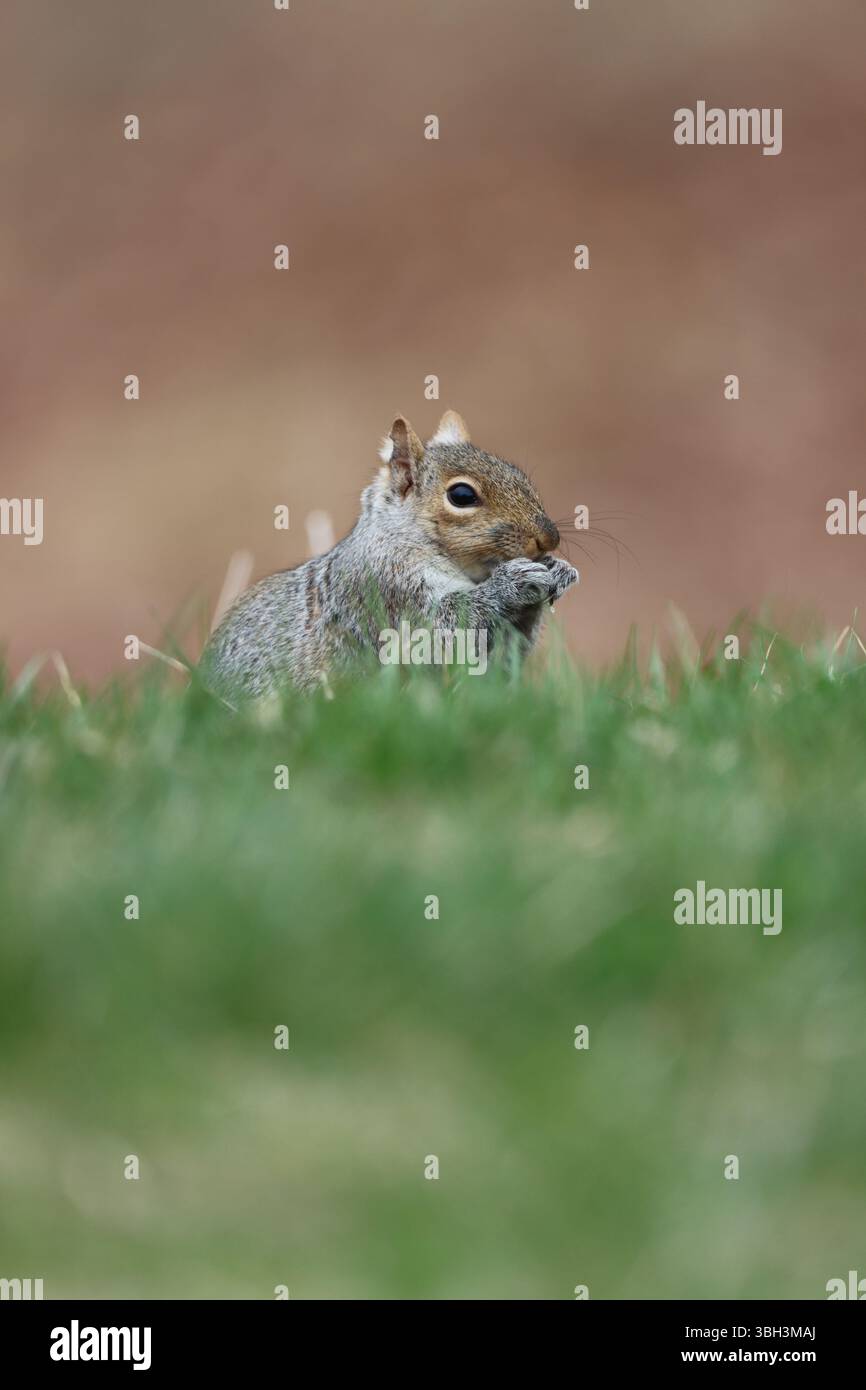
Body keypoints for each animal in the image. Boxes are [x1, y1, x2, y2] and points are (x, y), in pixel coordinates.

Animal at [201, 410, 578, 696]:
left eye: (518, 474)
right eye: (461, 496)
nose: (549, 538)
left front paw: (558, 570)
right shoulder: (386, 589)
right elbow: (441, 629)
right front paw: (514, 582)